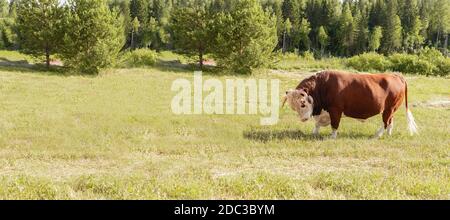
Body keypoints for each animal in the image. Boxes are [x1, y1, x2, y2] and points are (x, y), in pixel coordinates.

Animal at [282, 70, 418, 138]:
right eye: (294, 107)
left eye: (303, 104)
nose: (303, 119)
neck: (322, 85)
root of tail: (396, 75)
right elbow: (317, 124)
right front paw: (314, 133)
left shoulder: (335, 110)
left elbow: (334, 125)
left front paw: (332, 137)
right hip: (391, 109)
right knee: (390, 122)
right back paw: (388, 135)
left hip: (389, 109)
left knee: (385, 122)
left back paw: (377, 135)